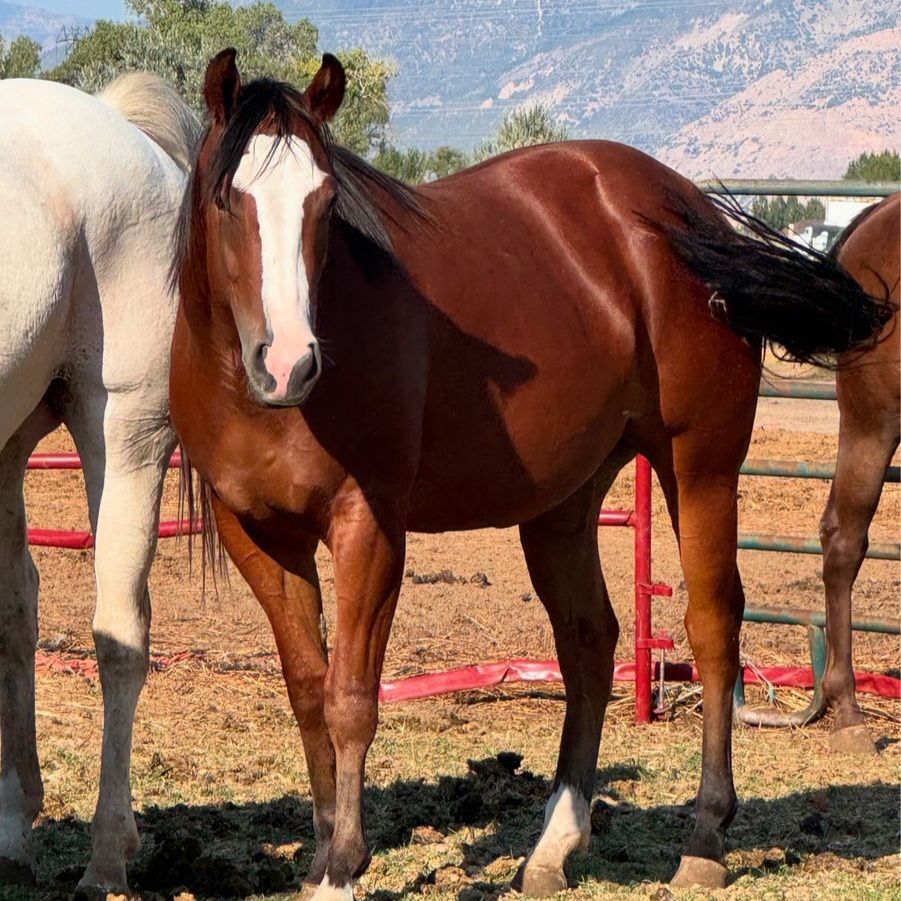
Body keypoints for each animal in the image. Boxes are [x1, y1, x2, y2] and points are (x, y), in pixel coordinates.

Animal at [169, 48, 894, 899]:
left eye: (322, 203)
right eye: (228, 201)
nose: (289, 362)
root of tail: (687, 214)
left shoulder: (367, 526)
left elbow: (350, 696)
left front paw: (343, 864)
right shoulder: (256, 534)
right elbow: (309, 691)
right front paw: (320, 860)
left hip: (699, 463)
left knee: (714, 627)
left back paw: (705, 836)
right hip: (563, 501)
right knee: (589, 640)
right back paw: (555, 841)